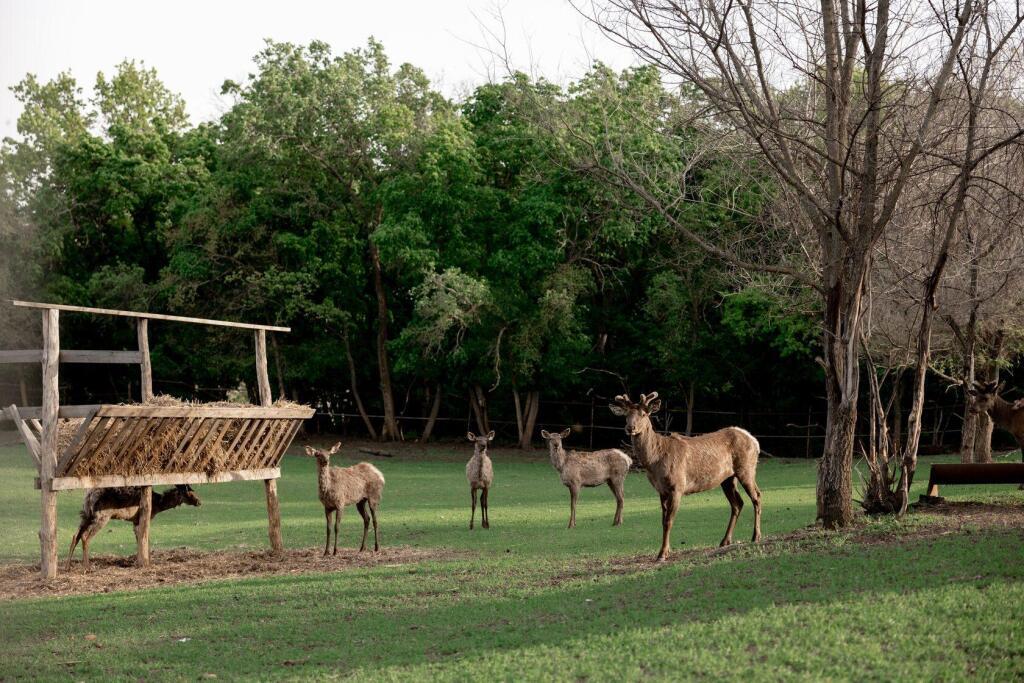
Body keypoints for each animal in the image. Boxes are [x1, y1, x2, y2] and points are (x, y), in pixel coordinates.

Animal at [66, 485, 201, 573]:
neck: (158, 505)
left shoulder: (135, 521)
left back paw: (67, 566)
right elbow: (145, 539)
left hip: (85, 514)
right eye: (189, 493)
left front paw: (140, 560)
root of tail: (88, 496)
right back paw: (87, 567)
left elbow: (139, 540)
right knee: (85, 536)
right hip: (101, 515)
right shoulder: (143, 518)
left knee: (75, 535)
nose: (199, 501)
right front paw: (147, 561)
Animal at [606, 393, 761, 565]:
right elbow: (663, 521)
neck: (655, 460)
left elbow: (669, 521)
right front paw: (666, 550)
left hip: (747, 468)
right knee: (737, 504)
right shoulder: (661, 490)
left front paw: (662, 554)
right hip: (727, 478)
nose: (630, 428)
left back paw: (756, 536)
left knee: (757, 497)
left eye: (644, 414)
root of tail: (755, 441)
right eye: (626, 415)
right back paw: (725, 541)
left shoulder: (677, 486)